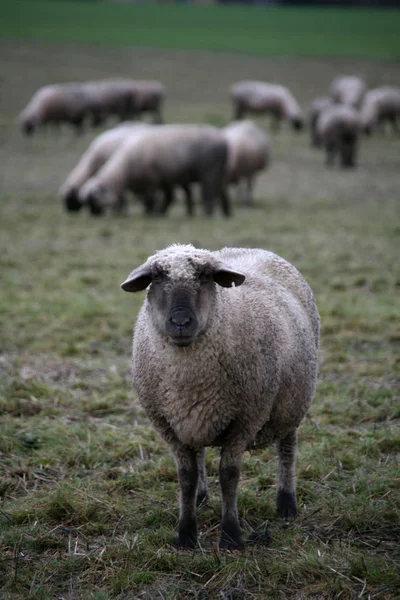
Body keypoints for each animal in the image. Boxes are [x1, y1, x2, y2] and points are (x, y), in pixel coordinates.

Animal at [79, 123, 231, 216]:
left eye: (93, 200)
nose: (94, 215)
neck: (124, 169)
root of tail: (223, 140)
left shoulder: (152, 180)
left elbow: (151, 199)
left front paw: (152, 213)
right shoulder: (163, 179)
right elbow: (167, 197)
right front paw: (159, 212)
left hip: (210, 171)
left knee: (209, 193)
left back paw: (207, 213)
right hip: (219, 171)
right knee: (222, 191)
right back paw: (226, 213)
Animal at [120, 243, 320, 548]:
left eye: (205, 277)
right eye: (156, 278)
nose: (180, 322)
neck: (189, 378)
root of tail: (249, 247)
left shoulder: (246, 418)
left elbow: (229, 476)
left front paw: (231, 535)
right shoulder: (168, 423)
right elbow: (186, 476)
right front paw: (186, 534)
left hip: (291, 403)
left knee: (287, 449)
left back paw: (286, 504)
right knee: (200, 454)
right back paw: (201, 498)